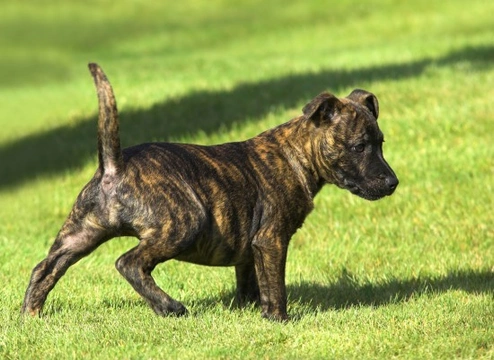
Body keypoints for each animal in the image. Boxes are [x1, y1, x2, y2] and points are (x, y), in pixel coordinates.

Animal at [21, 62, 398, 320]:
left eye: (381, 143)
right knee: (129, 262)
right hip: (182, 223)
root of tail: (115, 165)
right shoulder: (271, 239)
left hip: (80, 232)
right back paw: (170, 307)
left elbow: (251, 280)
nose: (393, 183)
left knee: (45, 268)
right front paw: (279, 319)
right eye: (359, 146)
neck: (296, 154)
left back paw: (29, 317)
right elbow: (275, 285)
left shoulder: (251, 247)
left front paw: (249, 309)